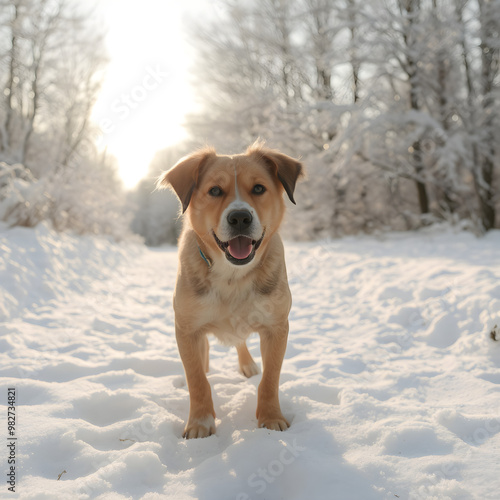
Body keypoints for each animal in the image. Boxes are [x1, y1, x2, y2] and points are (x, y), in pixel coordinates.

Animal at [158, 140, 302, 438]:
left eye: (258, 188)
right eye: (215, 190)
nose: (239, 218)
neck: (232, 277)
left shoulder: (276, 327)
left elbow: (270, 379)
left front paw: (270, 418)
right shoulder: (186, 328)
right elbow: (197, 379)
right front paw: (200, 423)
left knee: (241, 342)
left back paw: (247, 364)